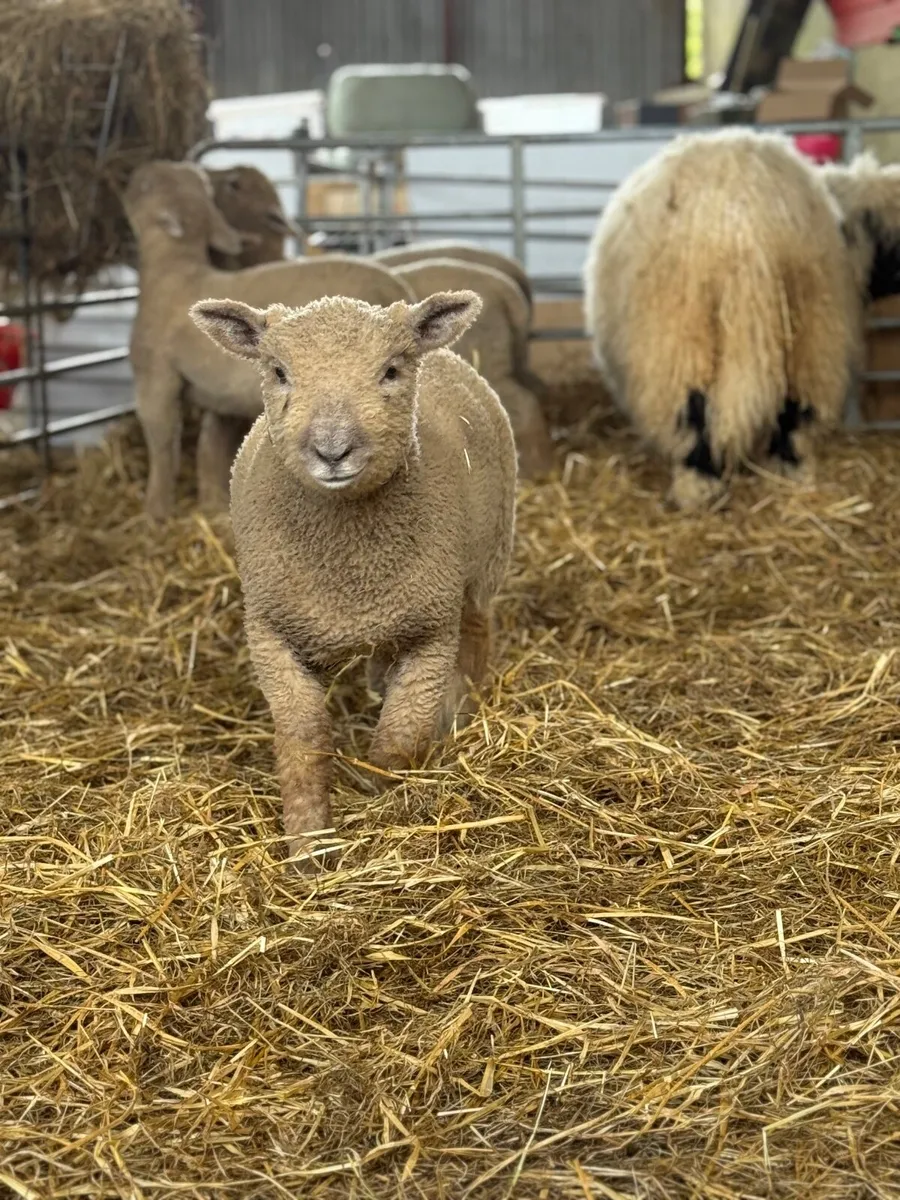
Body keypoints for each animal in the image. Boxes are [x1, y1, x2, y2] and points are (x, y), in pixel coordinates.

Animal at [122, 160, 414, 519]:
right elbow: (211, 446)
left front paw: (155, 512)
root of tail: (401, 290)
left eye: (145, 186)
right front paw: (212, 503)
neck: (176, 276)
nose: (135, 174)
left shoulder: (155, 376)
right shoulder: (221, 397)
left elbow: (162, 440)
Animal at [189, 290, 517, 869]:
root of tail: (447, 355)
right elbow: (305, 733)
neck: (350, 569)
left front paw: (383, 803)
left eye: (390, 371)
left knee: (479, 631)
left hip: (485, 561)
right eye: (278, 371)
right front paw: (308, 843)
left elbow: (401, 734)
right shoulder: (270, 631)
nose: (332, 449)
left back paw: (463, 712)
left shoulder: (432, 630)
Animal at [583, 128, 860, 510]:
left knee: (696, 414)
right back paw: (788, 474)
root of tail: (745, 226)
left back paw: (697, 488)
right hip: (814, 321)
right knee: (795, 409)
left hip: (682, 336)